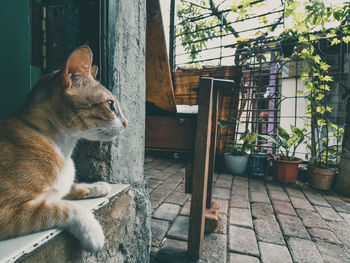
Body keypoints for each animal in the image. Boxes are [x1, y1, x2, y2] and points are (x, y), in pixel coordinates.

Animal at [0, 46, 127, 254]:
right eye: (110, 104)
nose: (126, 123)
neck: (63, 149)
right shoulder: (9, 210)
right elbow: (62, 207)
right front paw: (93, 232)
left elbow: (69, 188)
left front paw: (97, 185)